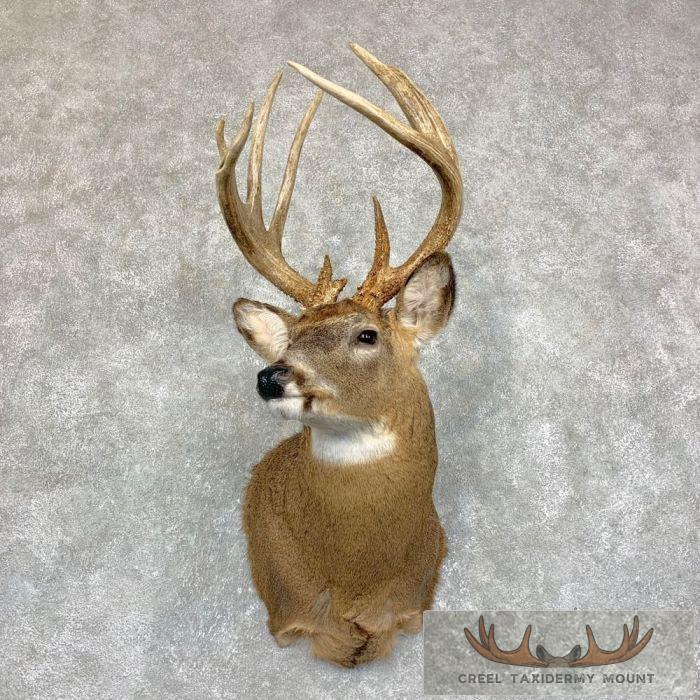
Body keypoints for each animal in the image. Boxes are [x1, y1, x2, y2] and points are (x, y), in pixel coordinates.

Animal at [214, 44, 462, 667]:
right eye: (292, 338)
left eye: (367, 335)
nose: (271, 376)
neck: (355, 580)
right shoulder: (287, 613)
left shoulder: (412, 603)